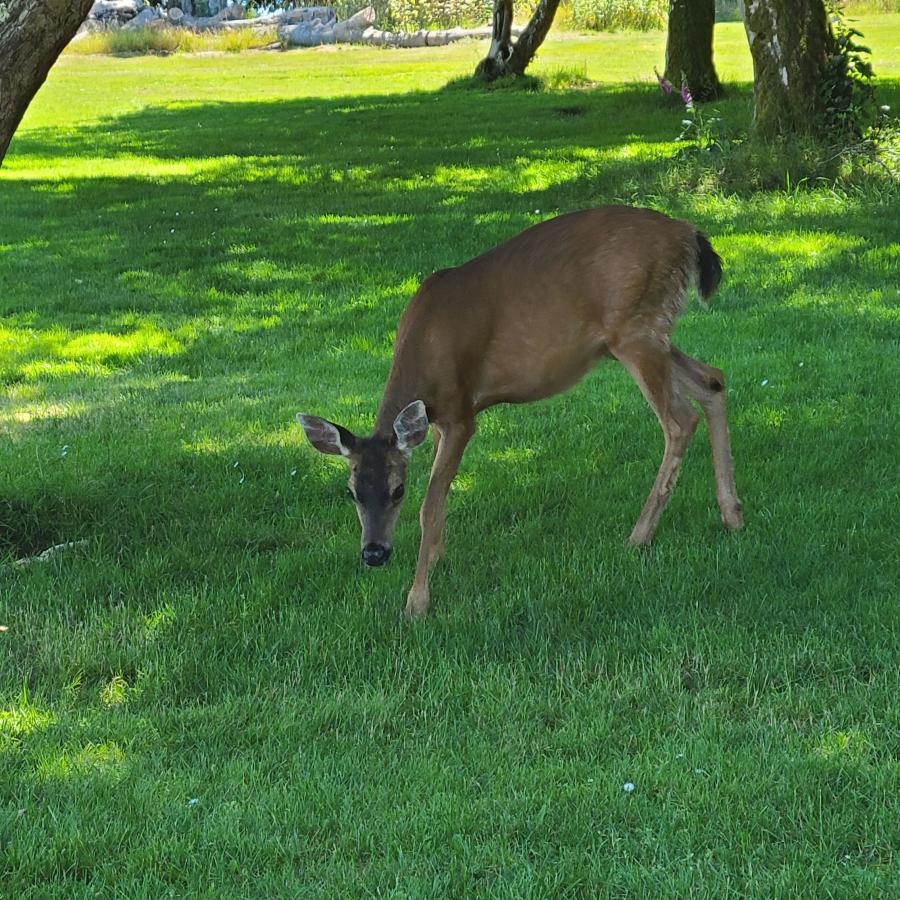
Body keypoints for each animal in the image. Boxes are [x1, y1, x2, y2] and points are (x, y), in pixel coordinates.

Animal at [298, 209, 740, 620]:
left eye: (397, 490)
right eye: (351, 491)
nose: (374, 553)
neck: (426, 344)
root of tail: (687, 234)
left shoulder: (461, 414)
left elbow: (430, 504)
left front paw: (417, 601)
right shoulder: (436, 420)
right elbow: (441, 498)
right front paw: (438, 557)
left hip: (636, 329)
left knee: (680, 420)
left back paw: (640, 535)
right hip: (644, 336)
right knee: (713, 380)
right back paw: (732, 515)